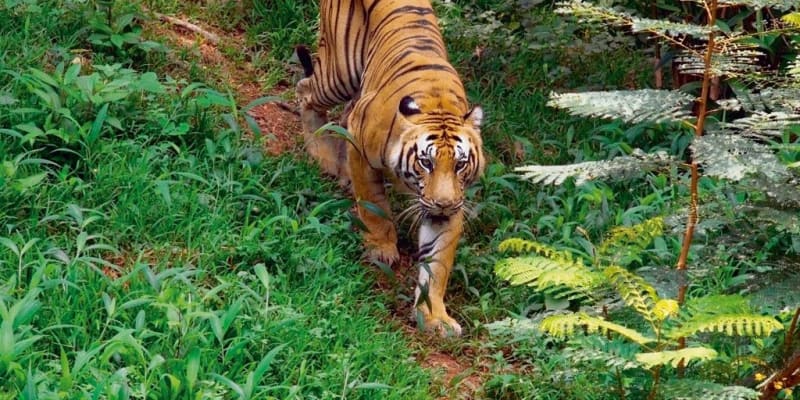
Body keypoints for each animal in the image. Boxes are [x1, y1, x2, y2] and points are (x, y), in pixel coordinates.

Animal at [295, 0, 485, 336]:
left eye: (460, 165)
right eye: (426, 162)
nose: (443, 203)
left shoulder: (451, 203)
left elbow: (438, 262)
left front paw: (434, 317)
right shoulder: (361, 149)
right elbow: (374, 205)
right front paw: (381, 247)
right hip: (339, 72)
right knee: (306, 91)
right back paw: (323, 155)